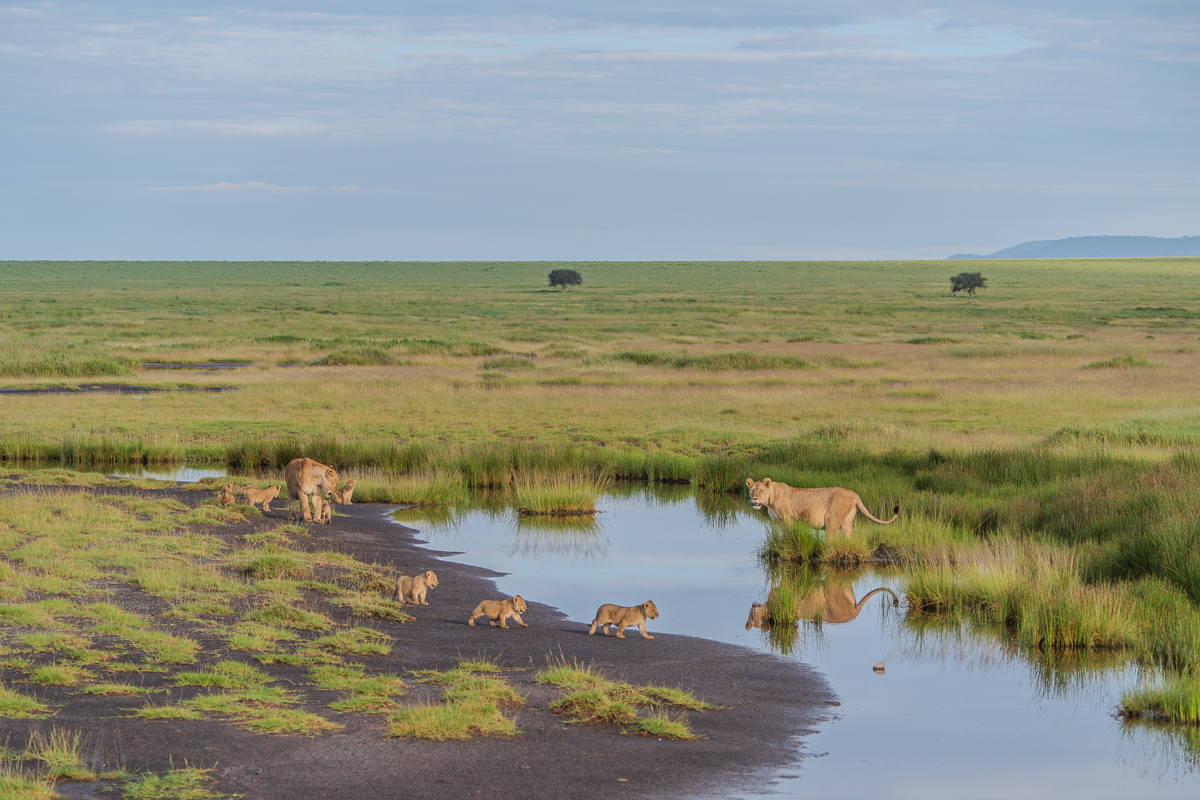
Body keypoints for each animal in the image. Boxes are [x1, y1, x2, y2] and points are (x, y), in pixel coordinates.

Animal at [746, 477, 898, 539]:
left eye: (761, 491)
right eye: (752, 490)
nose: (754, 499)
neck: (770, 498)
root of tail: (852, 492)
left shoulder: (788, 519)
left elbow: (788, 535)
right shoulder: (777, 522)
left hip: (832, 521)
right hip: (847, 523)